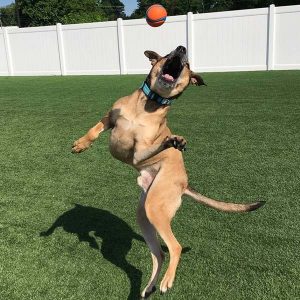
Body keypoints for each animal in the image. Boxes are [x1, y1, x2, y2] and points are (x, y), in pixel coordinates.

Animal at [71, 44, 264, 298]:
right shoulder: (110, 119)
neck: (146, 107)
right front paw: (81, 144)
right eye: (167, 53)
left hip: (156, 207)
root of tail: (184, 184)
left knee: (175, 247)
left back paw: (166, 281)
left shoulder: (138, 152)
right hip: (144, 214)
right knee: (159, 254)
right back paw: (149, 286)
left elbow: (154, 146)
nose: (181, 48)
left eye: (188, 64)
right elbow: (95, 128)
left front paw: (172, 141)